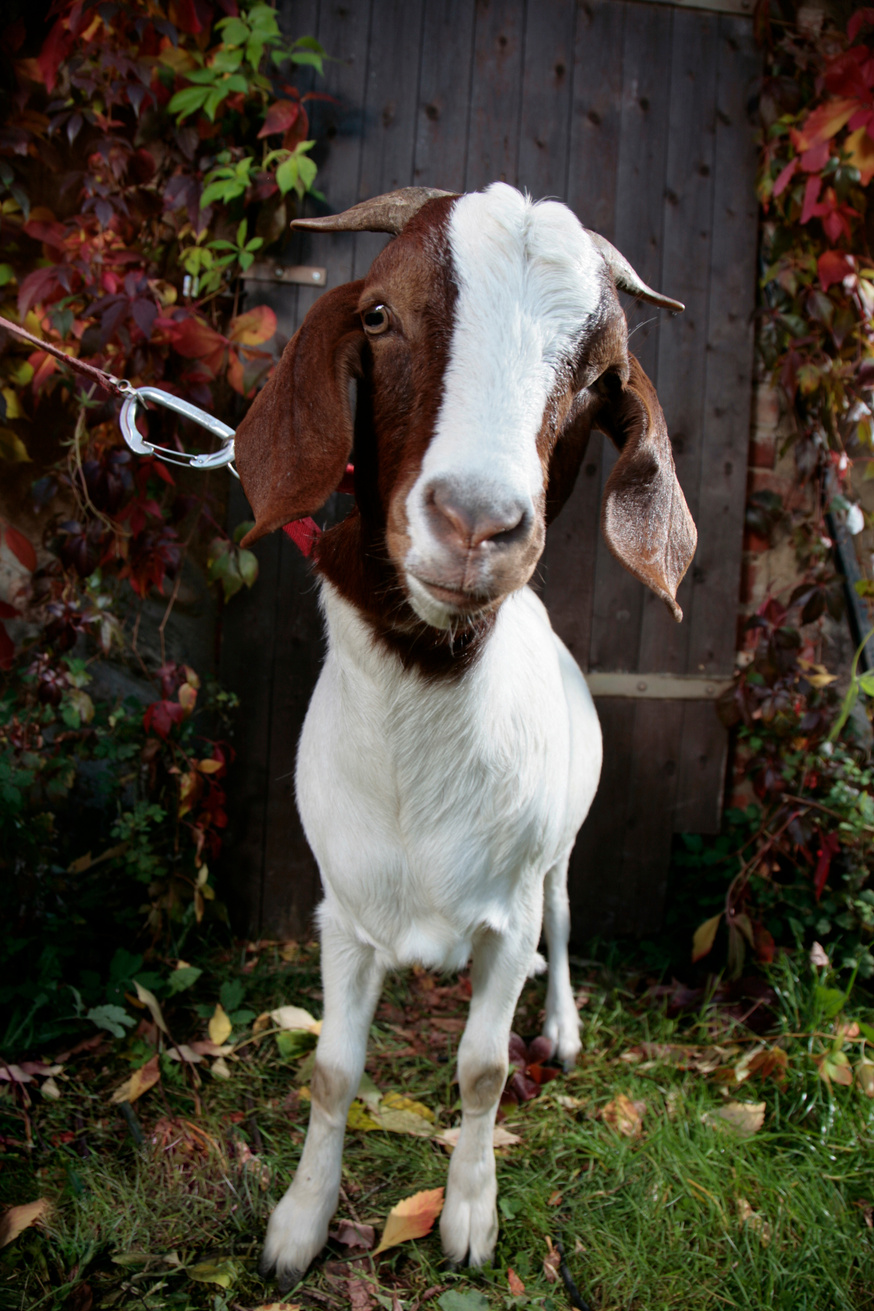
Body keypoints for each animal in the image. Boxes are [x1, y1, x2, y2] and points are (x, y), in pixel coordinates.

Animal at [234, 182, 696, 1287]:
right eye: (377, 316)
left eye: (602, 376)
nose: (479, 523)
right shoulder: (343, 913)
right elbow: (331, 1070)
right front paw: (297, 1225)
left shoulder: (505, 910)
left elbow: (483, 1070)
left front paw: (468, 1216)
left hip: (559, 852)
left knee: (564, 922)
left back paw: (560, 1024)